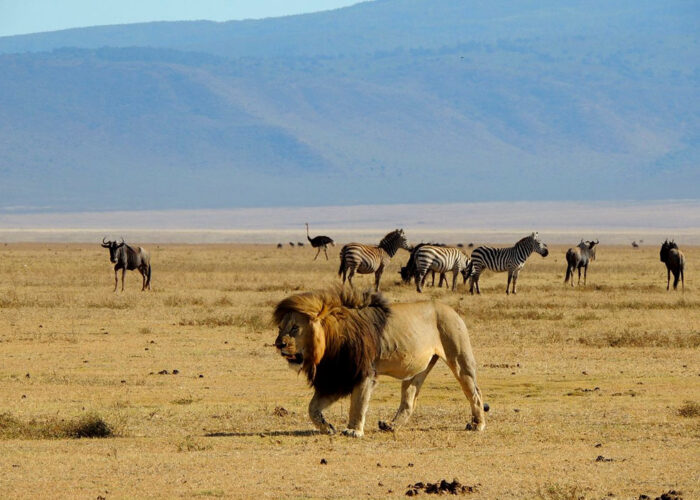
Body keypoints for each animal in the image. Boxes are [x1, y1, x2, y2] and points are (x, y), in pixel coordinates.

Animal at [273, 286, 486, 437]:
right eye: (281, 328)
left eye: (295, 328)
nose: (278, 343)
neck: (330, 341)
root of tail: (451, 309)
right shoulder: (337, 377)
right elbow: (312, 408)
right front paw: (328, 427)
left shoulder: (364, 373)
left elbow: (358, 403)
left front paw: (353, 430)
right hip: (417, 370)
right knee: (409, 401)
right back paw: (390, 425)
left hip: (459, 358)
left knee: (475, 392)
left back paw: (477, 424)